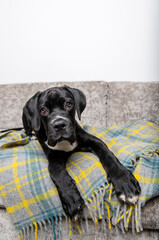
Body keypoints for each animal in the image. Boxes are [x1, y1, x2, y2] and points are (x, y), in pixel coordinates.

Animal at [22, 86, 140, 219]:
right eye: (43, 110)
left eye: (69, 104)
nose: (59, 124)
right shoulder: (53, 157)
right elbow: (57, 173)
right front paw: (71, 199)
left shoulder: (94, 142)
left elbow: (109, 156)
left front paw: (124, 182)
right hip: (25, 119)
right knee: (27, 130)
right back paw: (31, 136)